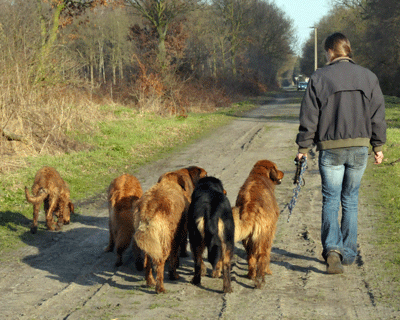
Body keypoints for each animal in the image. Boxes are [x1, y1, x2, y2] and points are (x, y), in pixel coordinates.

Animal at [134, 166, 206, 294]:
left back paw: (150, 281)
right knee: (160, 262)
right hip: (163, 238)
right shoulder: (179, 230)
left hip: (149, 238)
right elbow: (176, 252)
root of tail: (147, 209)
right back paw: (161, 287)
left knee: (147, 260)